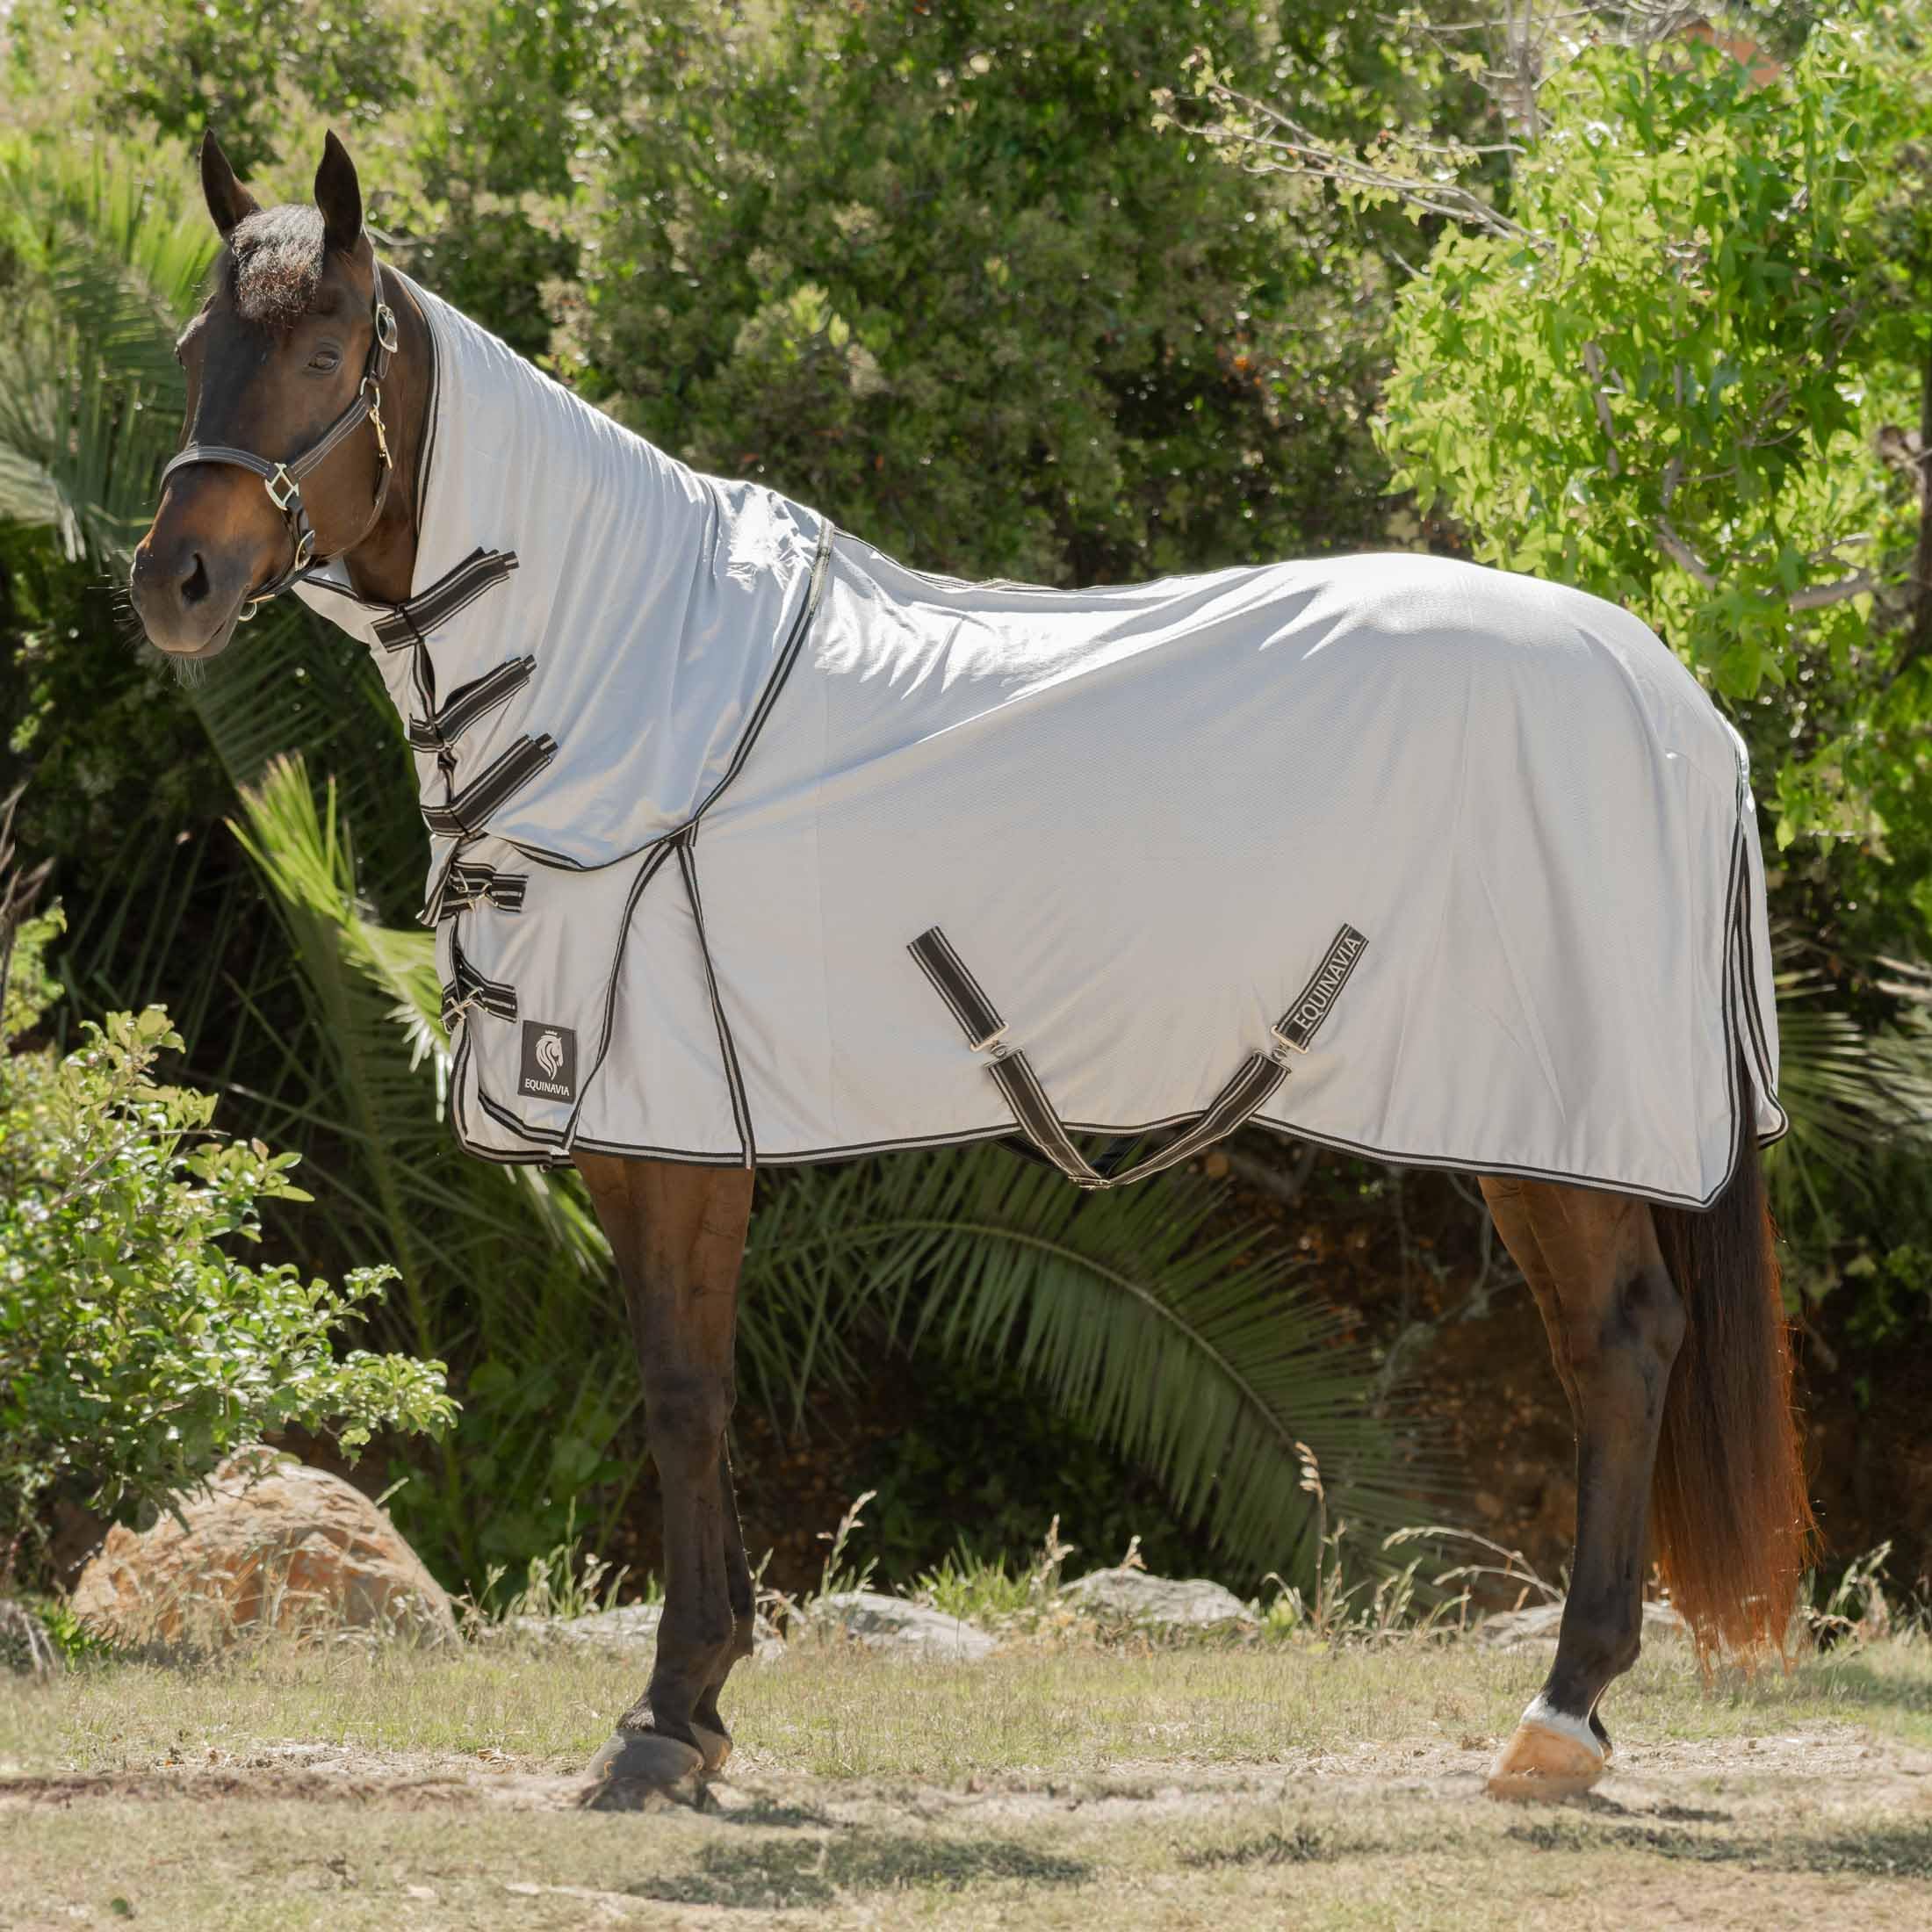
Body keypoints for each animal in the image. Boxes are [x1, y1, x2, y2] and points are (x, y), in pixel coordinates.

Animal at [131, 130, 1814, 1803]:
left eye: (327, 351)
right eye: (198, 350)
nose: (176, 583)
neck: (626, 680)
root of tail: (1678, 697)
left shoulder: (668, 1132)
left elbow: (680, 1392)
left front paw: (668, 1715)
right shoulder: (672, 1135)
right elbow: (697, 1384)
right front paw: (707, 1697)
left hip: (1553, 1121)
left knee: (1619, 1345)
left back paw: (1566, 1711)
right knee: (1612, 1344)